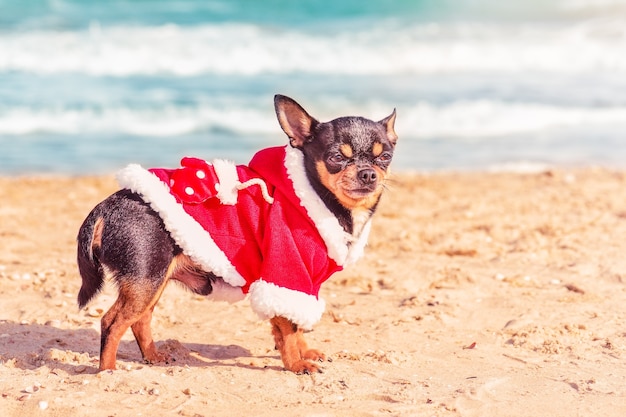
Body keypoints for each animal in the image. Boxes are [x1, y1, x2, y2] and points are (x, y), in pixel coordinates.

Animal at [78, 95, 398, 374]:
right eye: (336, 157)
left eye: (385, 157)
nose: (368, 173)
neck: (318, 197)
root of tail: (107, 206)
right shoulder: (287, 272)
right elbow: (289, 329)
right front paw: (296, 364)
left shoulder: (304, 284)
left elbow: (291, 325)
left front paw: (303, 352)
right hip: (145, 279)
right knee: (111, 322)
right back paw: (107, 371)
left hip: (152, 281)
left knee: (140, 320)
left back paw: (153, 357)